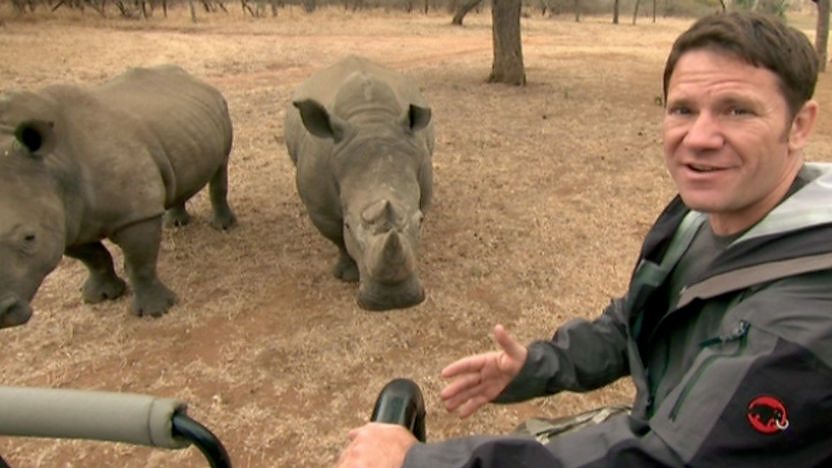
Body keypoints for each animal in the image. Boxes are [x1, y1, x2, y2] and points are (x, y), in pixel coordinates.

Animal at [0, 65, 236, 329]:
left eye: (29, 238)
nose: (3, 312)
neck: (57, 165)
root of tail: (195, 79)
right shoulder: (66, 223)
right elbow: (94, 257)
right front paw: (101, 296)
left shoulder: (137, 214)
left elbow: (139, 262)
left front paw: (157, 311)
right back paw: (175, 224)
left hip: (220, 110)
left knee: (220, 166)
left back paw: (222, 226)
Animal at [284, 55, 434, 311]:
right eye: (348, 226)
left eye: (420, 221)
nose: (393, 300)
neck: (370, 121)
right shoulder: (321, 209)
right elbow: (336, 237)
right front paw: (347, 276)